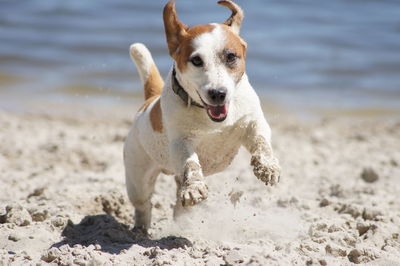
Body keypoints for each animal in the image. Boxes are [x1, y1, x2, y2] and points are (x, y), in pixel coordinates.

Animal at [123, 0, 280, 233]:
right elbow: (190, 163)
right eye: (196, 60)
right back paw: (140, 231)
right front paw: (195, 186)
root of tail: (149, 100)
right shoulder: (181, 141)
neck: (211, 120)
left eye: (231, 57)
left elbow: (262, 141)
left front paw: (267, 167)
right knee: (143, 205)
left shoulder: (253, 122)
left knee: (179, 207)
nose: (218, 94)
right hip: (138, 177)